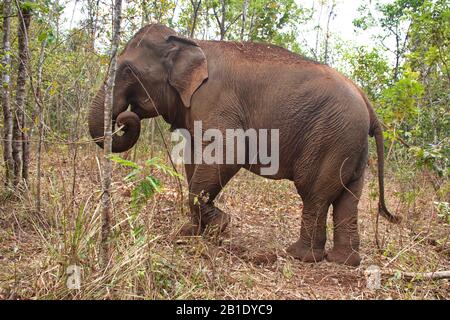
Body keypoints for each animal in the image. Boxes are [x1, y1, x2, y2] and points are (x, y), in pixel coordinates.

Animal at [89, 23, 400, 266]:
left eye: (128, 71)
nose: (125, 116)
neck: (191, 42)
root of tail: (368, 104)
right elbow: (193, 160)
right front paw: (190, 232)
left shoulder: (215, 99)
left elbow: (229, 154)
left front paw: (220, 227)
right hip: (350, 144)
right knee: (347, 197)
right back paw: (344, 261)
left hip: (331, 137)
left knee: (314, 193)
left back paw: (299, 255)